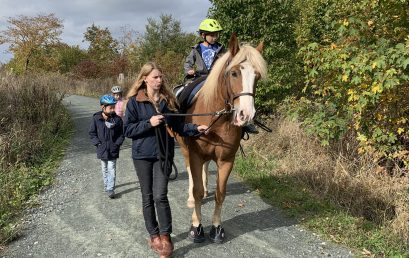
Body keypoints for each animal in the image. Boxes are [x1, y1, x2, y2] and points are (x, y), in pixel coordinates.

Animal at [173, 32, 266, 244]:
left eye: (256, 76)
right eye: (234, 73)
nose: (246, 114)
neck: (216, 116)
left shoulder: (226, 160)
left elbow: (220, 194)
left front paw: (216, 228)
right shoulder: (195, 155)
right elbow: (197, 190)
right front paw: (196, 227)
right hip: (185, 149)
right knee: (190, 173)